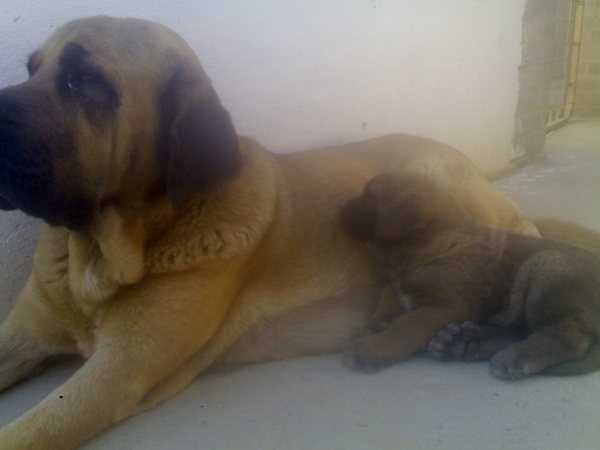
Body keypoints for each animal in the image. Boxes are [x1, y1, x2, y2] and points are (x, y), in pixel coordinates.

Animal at [0, 14, 572, 450]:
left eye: (85, 79)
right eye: (32, 69)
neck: (95, 260)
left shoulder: (118, 368)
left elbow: (26, 431)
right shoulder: (25, 334)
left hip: (431, 179)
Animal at [340, 172, 600, 380]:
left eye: (369, 197)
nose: (341, 208)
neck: (435, 245)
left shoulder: (443, 310)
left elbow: (405, 326)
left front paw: (372, 348)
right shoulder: (403, 283)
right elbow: (389, 291)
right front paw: (380, 320)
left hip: (547, 267)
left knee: (566, 339)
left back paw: (516, 355)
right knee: (521, 330)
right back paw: (464, 342)